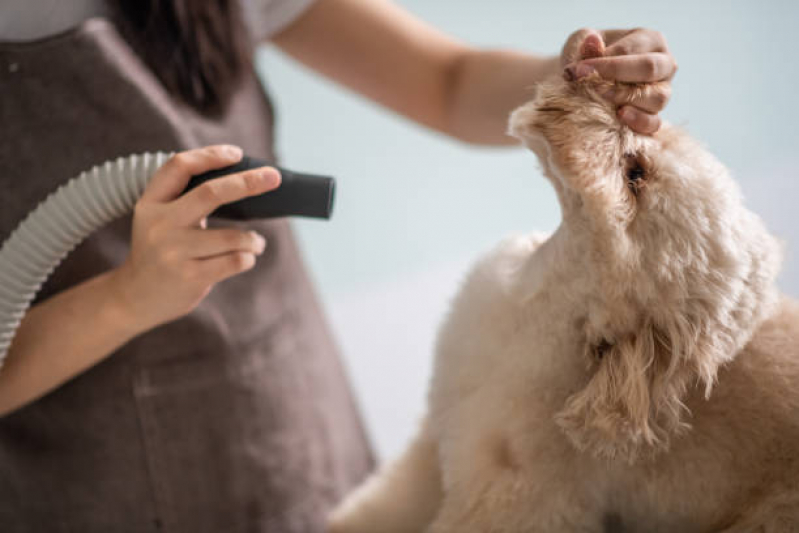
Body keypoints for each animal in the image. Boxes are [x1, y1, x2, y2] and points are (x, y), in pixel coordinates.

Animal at [328, 76, 799, 532]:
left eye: (635, 175)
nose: (607, 97)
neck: (536, 300)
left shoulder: (509, 496)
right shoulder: (440, 433)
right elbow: (385, 504)